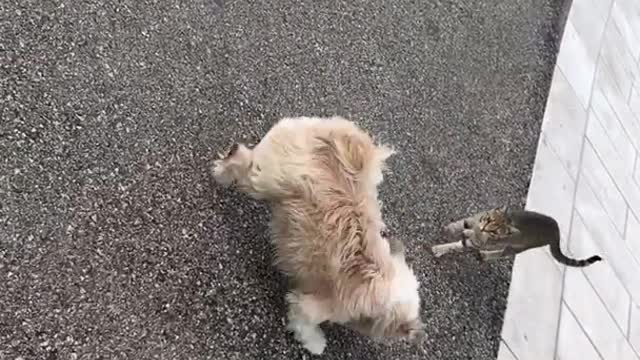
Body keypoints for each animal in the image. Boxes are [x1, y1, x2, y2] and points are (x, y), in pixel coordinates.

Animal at [212, 116, 424, 354]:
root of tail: (333, 138)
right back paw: (222, 173)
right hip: (265, 178)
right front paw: (315, 344)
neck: (383, 280)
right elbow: (304, 321)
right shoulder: (318, 307)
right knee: (241, 158)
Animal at [432, 205, 604, 268]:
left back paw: (486, 255)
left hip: (517, 247)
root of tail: (557, 233)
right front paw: (451, 228)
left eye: (494, 231)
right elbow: (463, 223)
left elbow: (459, 244)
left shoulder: (477, 242)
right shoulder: (474, 218)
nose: (483, 228)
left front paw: (439, 249)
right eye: (489, 219)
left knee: (502, 252)